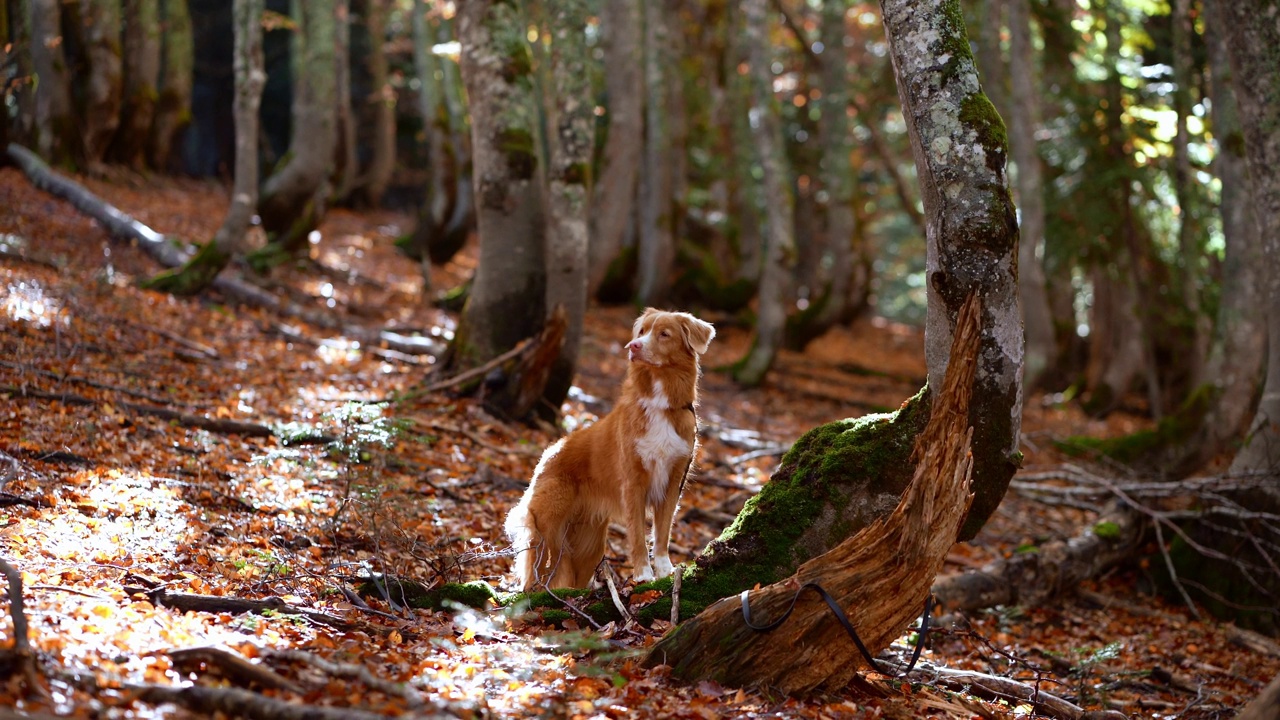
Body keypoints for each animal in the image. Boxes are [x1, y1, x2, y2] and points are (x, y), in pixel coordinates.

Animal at [504, 308, 716, 589]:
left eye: (664, 334)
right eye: (641, 332)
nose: (633, 346)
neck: (659, 402)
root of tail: (549, 453)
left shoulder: (673, 481)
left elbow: (663, 532)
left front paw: (664, 570)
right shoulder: (633, 483)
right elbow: (637, 535)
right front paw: (643, 574)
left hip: (588, 544)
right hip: (548, 527)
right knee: (534, 572)